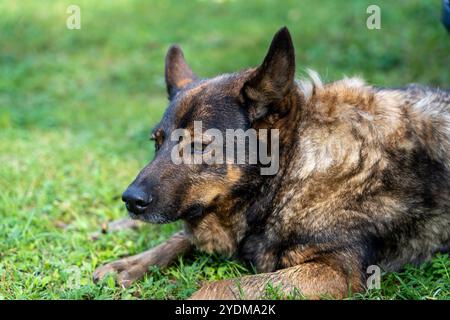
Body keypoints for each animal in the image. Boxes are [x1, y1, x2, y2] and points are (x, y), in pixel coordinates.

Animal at [92, 27, 450, 300]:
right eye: (157, 142)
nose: (130, 200)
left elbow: (213, 287)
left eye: (199, 146)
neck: (290, 172)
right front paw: (130, 263)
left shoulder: (336, 270)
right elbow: (179, 237)